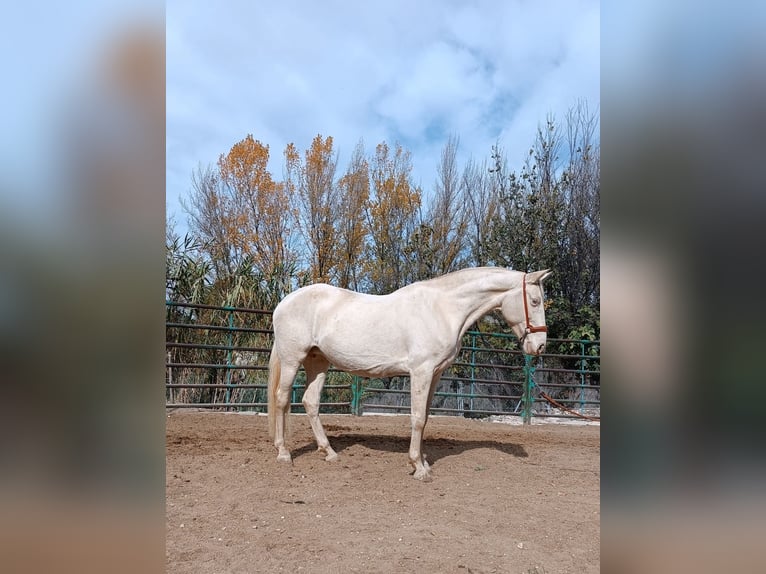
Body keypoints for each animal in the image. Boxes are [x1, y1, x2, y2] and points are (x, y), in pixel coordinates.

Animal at [270, 268, 552, 482]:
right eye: (535, 301)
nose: (539, 347)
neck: (442, 309)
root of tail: (284, 303)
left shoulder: (436, 374)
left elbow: (425, 417)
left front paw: (424, 461)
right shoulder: (421, 372)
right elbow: (416, 418)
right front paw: (418, 467)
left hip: (318, 362)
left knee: (310, 402)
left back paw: (328, 452)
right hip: (293, 359)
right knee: (282, 398)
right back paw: (283, 453)